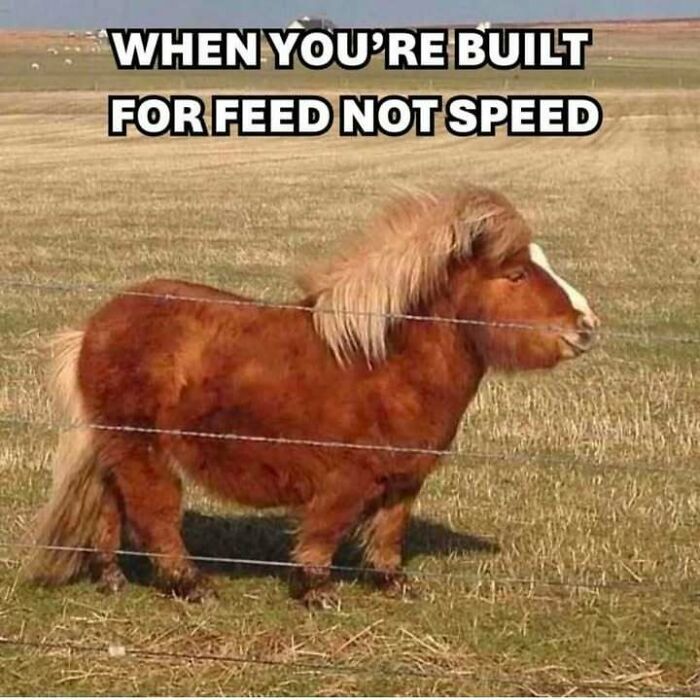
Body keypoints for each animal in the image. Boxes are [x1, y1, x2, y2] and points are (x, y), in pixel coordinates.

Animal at [26, 185, 599, 607]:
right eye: (516, 274)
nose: (587, 326)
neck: (383, 359)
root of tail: (96, 325)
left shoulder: (404, 477)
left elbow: (390, 532)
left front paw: (392, 583)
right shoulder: (347, 478)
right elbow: (324, 531)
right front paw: (316, 591)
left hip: (115, 448)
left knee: (109, 508)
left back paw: (111, 578)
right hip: (140, 448)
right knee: (154, 513)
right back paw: (190, 585)